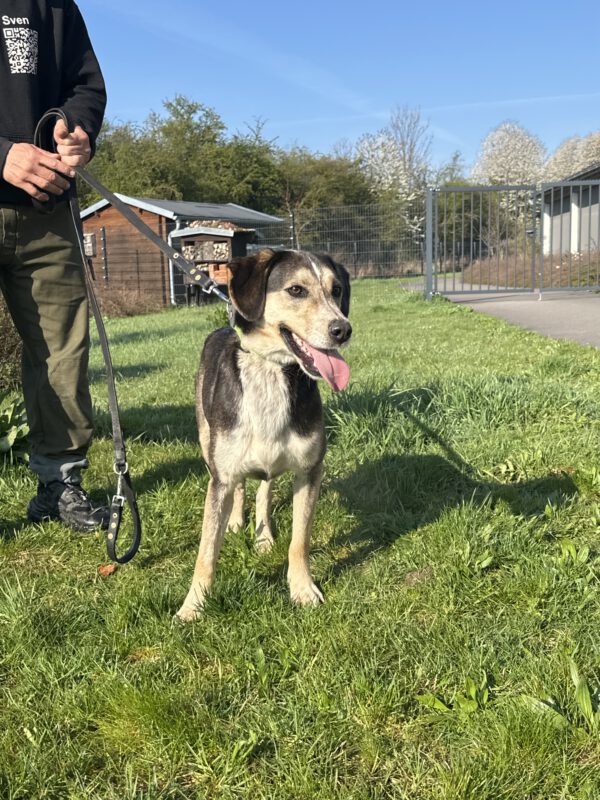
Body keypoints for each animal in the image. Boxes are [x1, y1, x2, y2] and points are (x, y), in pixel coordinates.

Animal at [176, 248, 352, 621]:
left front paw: (302, 589)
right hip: (208, 443)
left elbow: (299, 541)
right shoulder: (221, 478)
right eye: (296, 290)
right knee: (241, 485)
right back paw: (237, 522)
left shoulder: (310, 470)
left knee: (264, 490)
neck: (272, 370)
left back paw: (264, 537)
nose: (343, 330)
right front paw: (192, 606)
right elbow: (206, 551)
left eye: (337, 290)